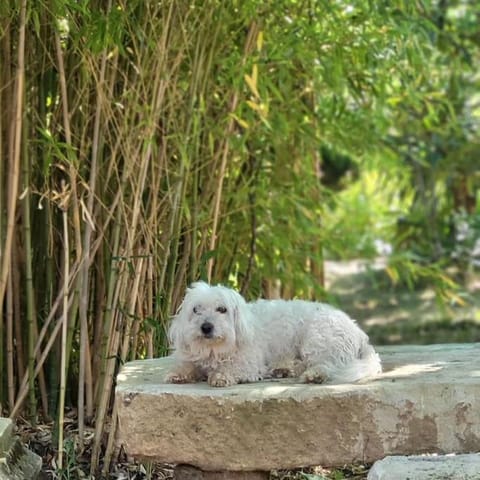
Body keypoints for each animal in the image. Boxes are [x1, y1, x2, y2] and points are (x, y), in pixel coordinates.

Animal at [166, 282, 382, 386]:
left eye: (222, 309)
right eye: (196, 309)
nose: (206, 327)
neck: (214, 350)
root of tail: (358, 331)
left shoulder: (248, 364)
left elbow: (232, 369)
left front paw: (221, 376)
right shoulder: (193, 359)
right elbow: (187, 366)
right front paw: (179, 374)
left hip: (317, 340)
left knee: (328, 365)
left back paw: (313, 375)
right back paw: (283, 369)